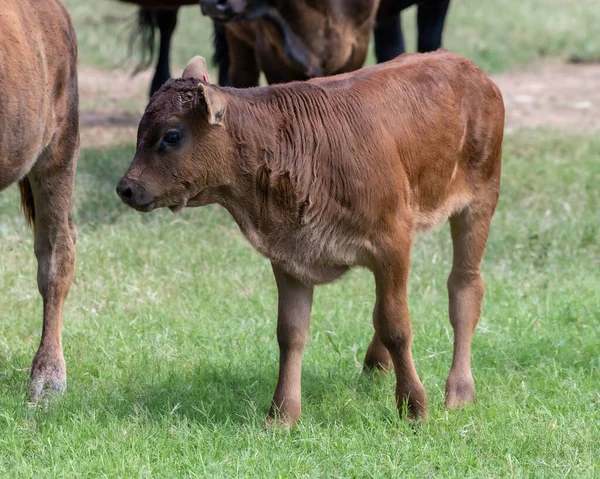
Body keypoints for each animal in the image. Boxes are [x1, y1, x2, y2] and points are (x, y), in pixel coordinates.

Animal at [116, 51, 502, 424]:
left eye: (172, 135)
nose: (126, 188)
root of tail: (468, 68)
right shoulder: (289, 256)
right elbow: (291, 332)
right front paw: (282, 415)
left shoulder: (391, 243)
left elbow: (395, 325)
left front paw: (413, 407)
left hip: (478, 202)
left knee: (464, 288)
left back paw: (459, 390)